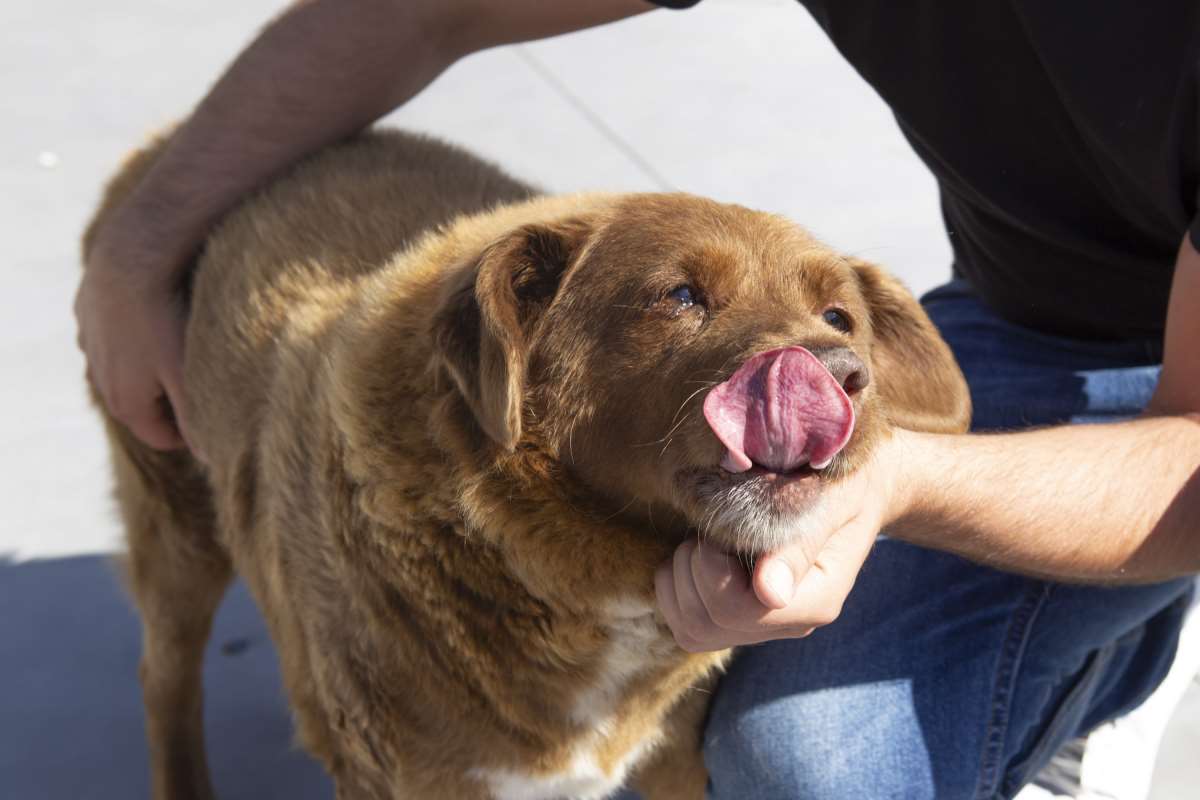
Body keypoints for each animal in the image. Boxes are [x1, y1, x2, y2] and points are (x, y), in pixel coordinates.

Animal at [82, 133, 964, 800]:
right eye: (681, 295)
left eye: (839, 315)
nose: (842, 374)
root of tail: (159, 147)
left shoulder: (675, 759)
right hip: (176, 524)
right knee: (164, 674)